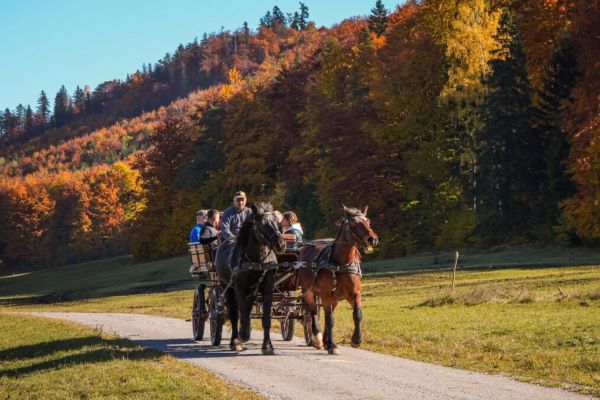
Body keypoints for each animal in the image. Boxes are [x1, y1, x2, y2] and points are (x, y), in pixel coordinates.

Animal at [298, 205, 378, 354]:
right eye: (353, 223)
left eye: (368, 221)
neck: (341, 264)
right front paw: (332, 345)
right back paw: (317, 338)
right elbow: (330, 319)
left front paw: (356, 339)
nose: (372, 239)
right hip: (309, 291)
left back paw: (325, 340)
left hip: (333, 298)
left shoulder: (354, 293)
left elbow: (357, 314)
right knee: (313, 312)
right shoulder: (325, 294)